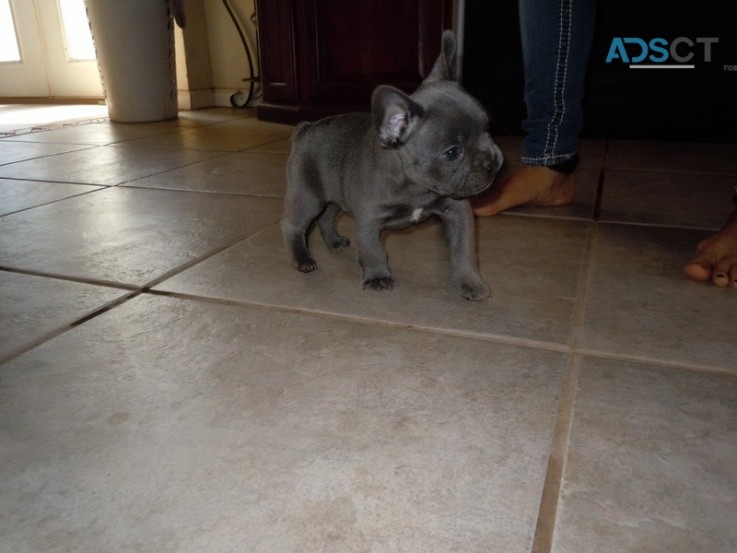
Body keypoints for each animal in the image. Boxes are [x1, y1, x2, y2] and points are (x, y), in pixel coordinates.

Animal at [280, 31, 500, 298]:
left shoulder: (457, 212)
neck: (415, 187)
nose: (493, 160)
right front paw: (378, 276)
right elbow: (372, 250)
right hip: (308, 196)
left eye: (488, 129)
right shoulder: (369, 218)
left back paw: (334, 242)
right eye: (452, 153)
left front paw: (470, 280)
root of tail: (305, 128)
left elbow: (464, 250)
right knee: (293, 225)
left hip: (334, 194)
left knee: (326, 217)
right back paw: (302, 259)